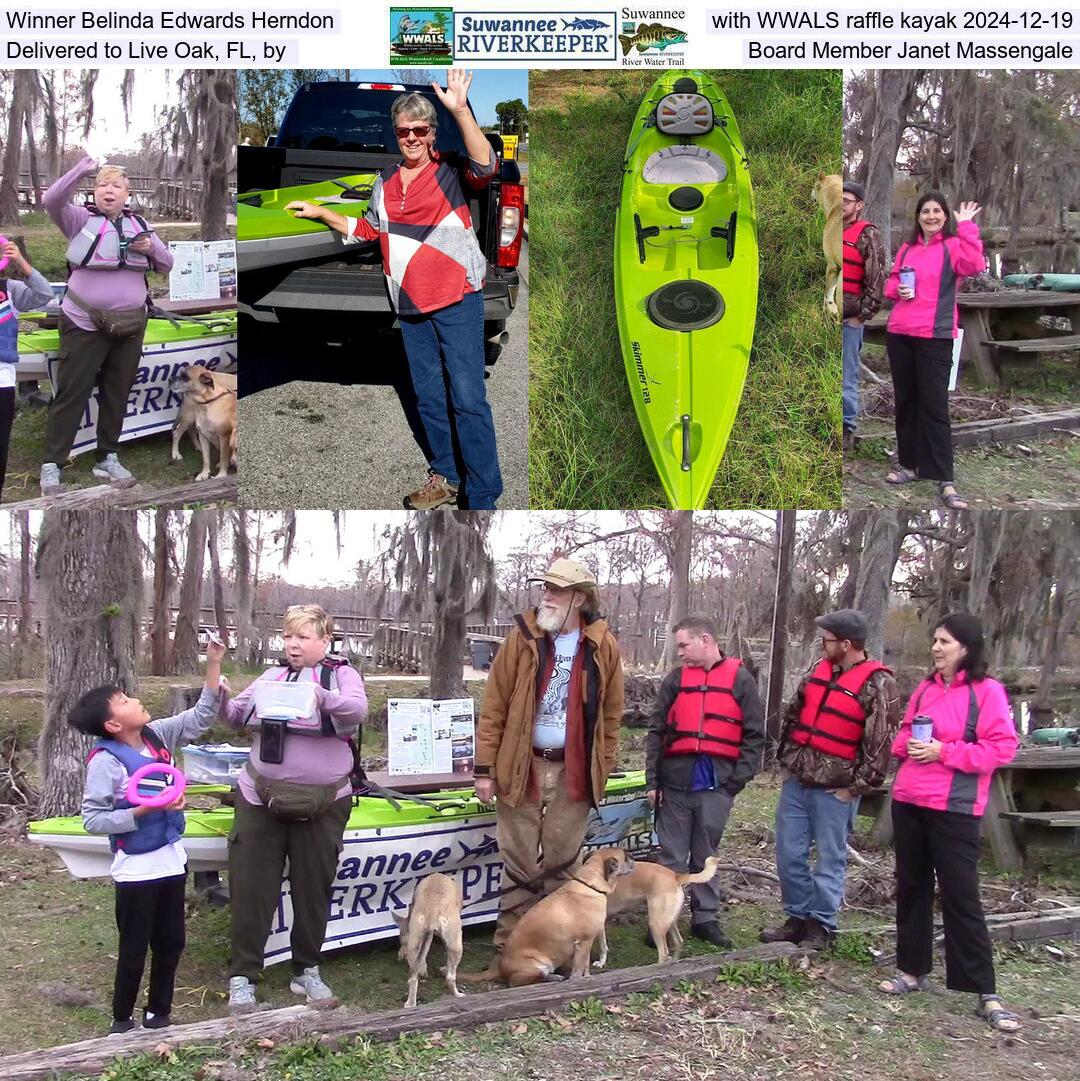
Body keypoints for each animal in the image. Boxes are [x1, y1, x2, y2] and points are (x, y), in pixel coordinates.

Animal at [395, 873, 467, 1007]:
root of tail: (432, 911)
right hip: (457, 945)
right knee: (450, 977)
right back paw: (457, 994)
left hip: (414, 944)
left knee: (413, 977)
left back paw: (411, 1003)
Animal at [462, 843, 631, 990]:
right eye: (626, 856)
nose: (633, 859)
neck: (590, 884)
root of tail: (500, 968)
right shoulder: (584, 942)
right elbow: (578, 970)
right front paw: (578, 981)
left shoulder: (586, 944)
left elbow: (585, 966)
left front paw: (587, 976)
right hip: (538, 966)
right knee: (517, 982)